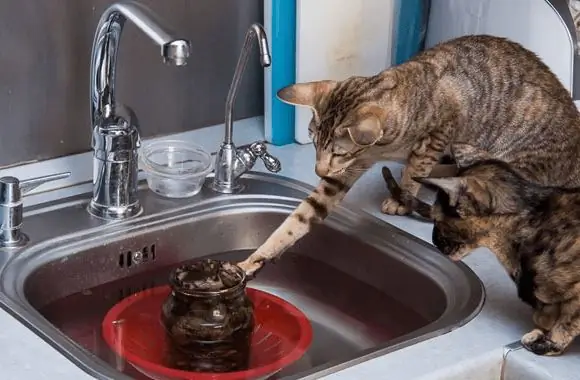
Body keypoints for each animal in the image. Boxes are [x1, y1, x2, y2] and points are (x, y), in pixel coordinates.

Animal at [238, 35, 580, 276]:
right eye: (313, 145)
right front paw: (252, 261)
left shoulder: (440, 131)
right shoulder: (348, 170)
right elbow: (298, 220)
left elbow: (417, 166)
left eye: (337, 152)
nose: (320, 171)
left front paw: (403, 195)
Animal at [382, 163, 580, 356]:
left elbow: (567, 321)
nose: (433, 240)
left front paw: (548, 343)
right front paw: (541, 329)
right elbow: (550, 314)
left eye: (437, 220)